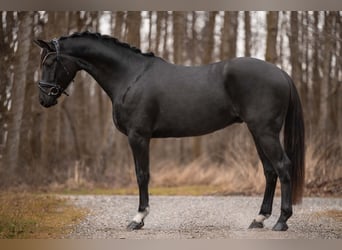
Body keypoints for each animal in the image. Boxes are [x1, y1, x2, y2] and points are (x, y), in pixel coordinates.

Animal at [34, 32, 304, 231]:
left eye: (49, 62)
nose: (44, 99)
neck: (130, 76)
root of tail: (281, 72)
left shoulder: (138, 136)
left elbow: (142, 175)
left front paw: (138, 218)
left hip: (265, 132)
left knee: (283, 166)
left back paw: (282, 221)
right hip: (257, 132)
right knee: (270, 171)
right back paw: (259, 219)